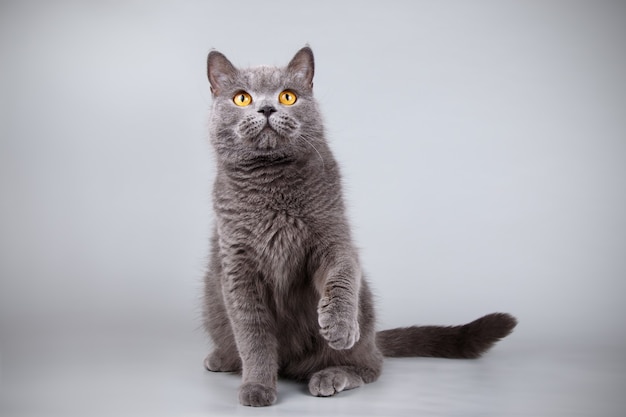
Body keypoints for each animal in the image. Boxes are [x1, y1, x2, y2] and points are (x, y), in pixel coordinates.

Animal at [202, 46, 516, 406]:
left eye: (287, 96)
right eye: (241, 98)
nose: (267, 108)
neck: (271, 186)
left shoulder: (332, 235)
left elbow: (341, 275)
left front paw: (339, 325)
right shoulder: (237, 266)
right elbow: (252, 335)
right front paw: (257, 387)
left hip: (364, 309)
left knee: (371, 365)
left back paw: (332, 374)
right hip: (211, 294)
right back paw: (224, 359)